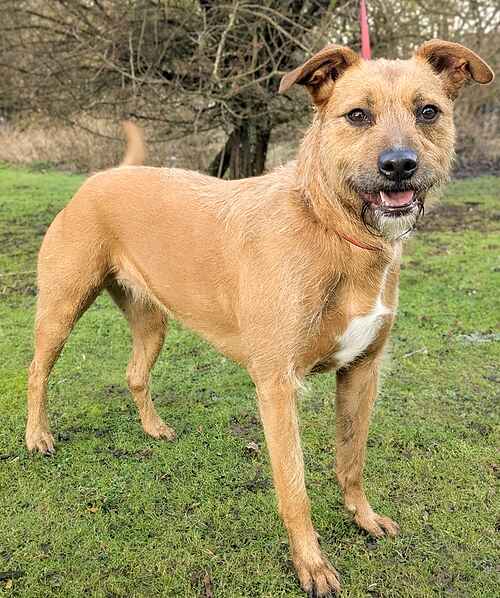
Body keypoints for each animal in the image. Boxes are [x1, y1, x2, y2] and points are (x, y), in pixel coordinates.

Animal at [26, 40, 493, 596]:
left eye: (429, 112)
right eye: (357, 115)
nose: (399, 165)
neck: (333, 229)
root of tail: (103, 176)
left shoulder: (362, 372)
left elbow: (351, 461)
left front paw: (362, 517)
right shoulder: (277, 385)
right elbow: (295, 488)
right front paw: (311, 564)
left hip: (153, 320)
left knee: (135, 374)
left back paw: (154, 428)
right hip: (61, 309)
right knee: (37, 372)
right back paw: (37, 437)